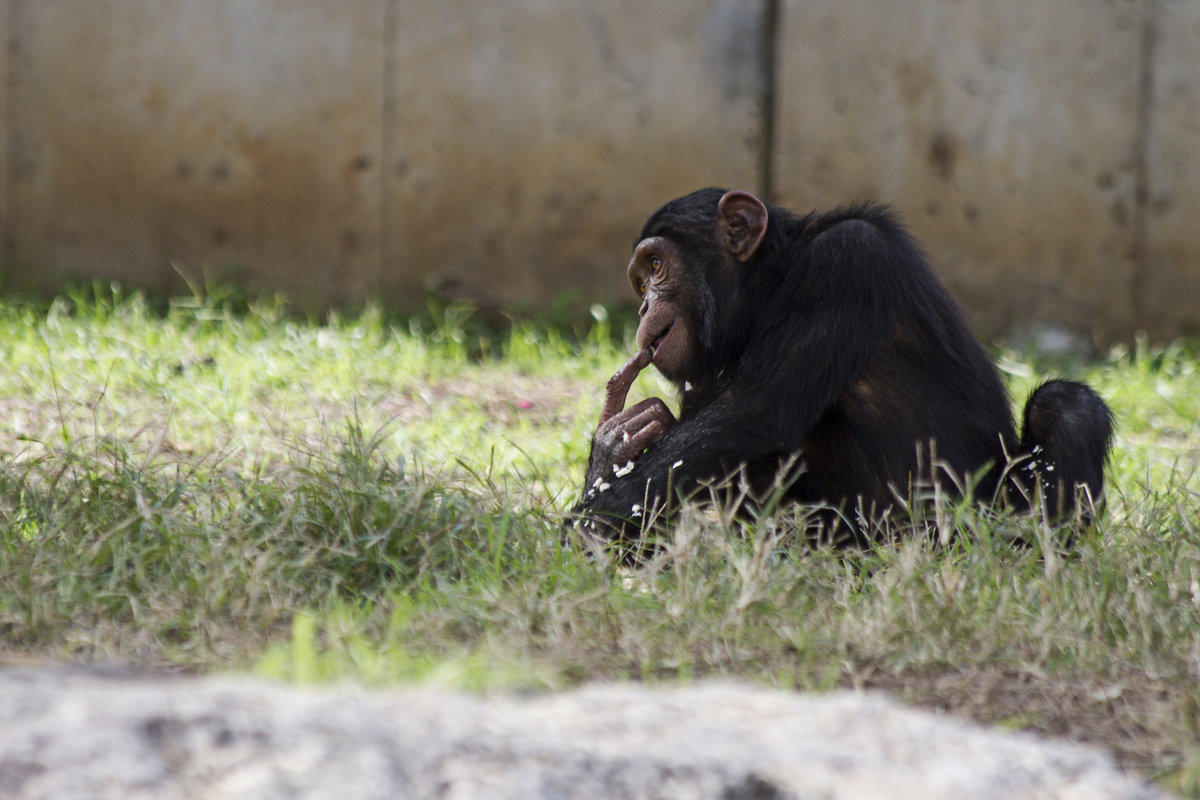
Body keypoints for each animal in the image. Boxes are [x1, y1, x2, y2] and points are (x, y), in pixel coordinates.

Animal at [571, 190, 1113, 546]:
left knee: (1065, 405)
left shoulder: (846, 261)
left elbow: (754, 411)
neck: (772, 285)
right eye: (641, 280)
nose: (644, 306)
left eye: (657, 266)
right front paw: (614, 446)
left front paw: (586, 528)